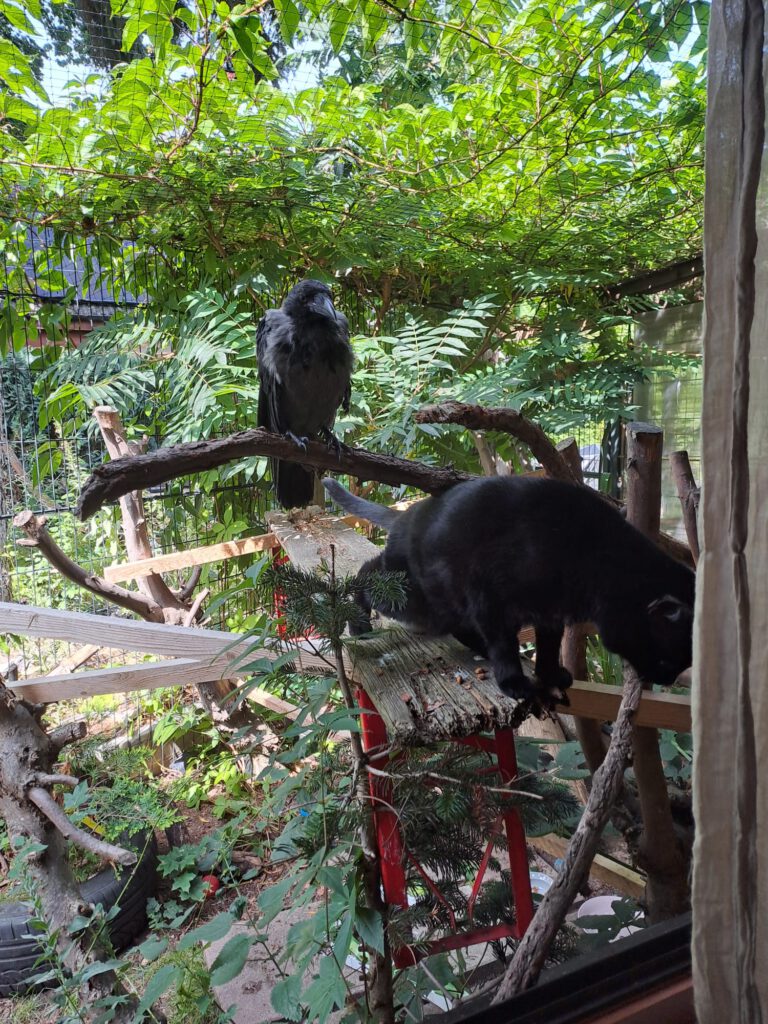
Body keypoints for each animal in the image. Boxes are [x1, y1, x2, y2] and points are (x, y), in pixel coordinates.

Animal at [325, 475, 696, 708]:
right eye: (667, 658)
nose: (666, 678)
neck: (592, 555)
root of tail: (408, 514)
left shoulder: (550, 612)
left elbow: (548, 646)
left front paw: (549, 674)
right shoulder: (489, 598)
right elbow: (505, 644)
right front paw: (514, 682)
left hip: (441, 606)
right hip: (415, 597)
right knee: (366, 574)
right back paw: (358, 625)